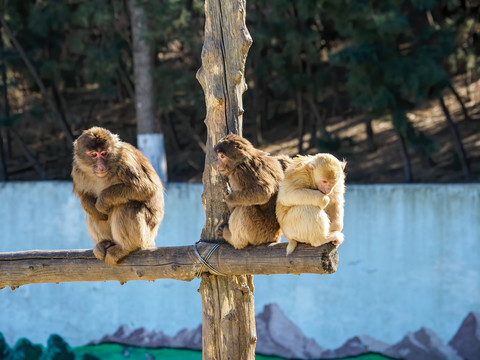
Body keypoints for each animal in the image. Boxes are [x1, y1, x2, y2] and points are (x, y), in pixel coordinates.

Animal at [71, 126, 165, 264]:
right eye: (93, 155)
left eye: (104, 153)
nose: (101, 166)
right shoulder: (77, 169)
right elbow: (84, 195)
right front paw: (93, 207)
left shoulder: (126, 161)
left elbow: (147, 188)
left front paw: (102, 202)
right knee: (93, 214)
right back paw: (104, 242)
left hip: (146, 235)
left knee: (127, 206)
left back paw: (125, 247)